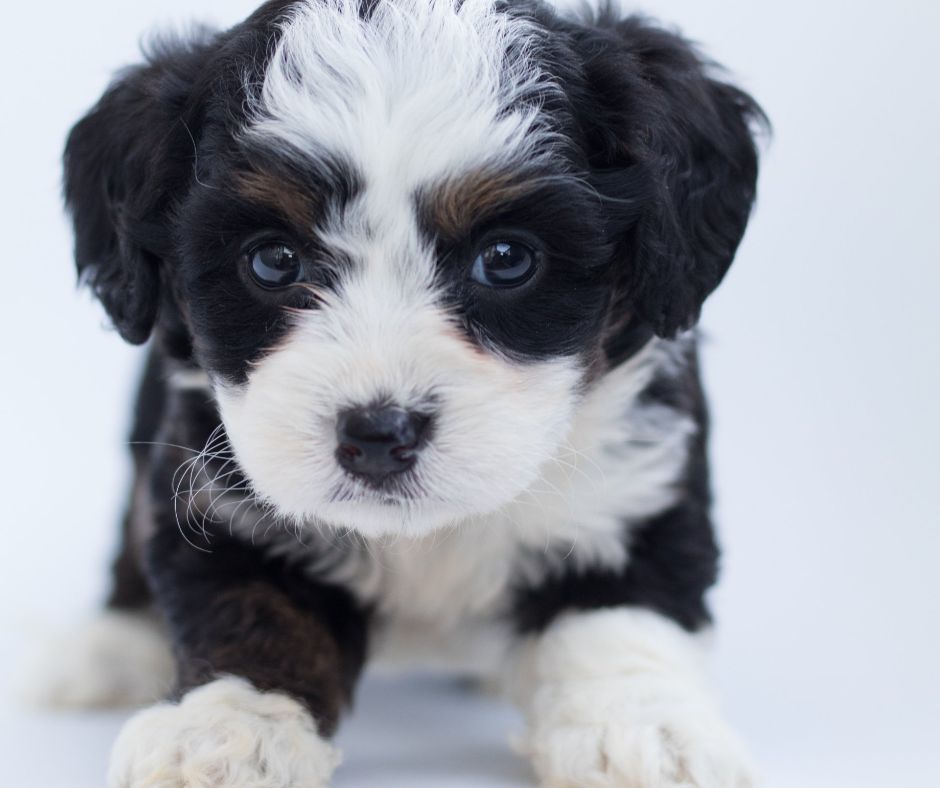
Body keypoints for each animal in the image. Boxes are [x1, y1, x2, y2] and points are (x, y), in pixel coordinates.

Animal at [49, 1, 764, 788]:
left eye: (506, 258)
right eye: (273, 260)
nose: (377, 436)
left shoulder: (635, 480)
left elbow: (621, 610)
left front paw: (640, 730)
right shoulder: (215, 490)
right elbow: (251, 607)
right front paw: (228, 727)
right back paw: (109, 648)